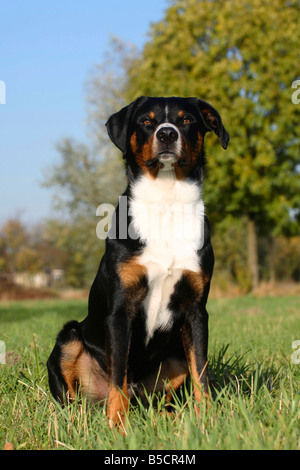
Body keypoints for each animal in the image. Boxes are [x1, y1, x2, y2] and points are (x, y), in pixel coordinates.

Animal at [47, 95, 230, 430]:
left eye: (186, 120)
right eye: (147, 121)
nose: (167, 134)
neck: (167, 205)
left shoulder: (196, 310)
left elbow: (201, 373)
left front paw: (207, 420)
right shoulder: (121, 311)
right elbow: (118, 374)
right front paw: (117, 426)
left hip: (174, 356)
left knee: (161, 397)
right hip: (69, 337)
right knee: (75, 397)